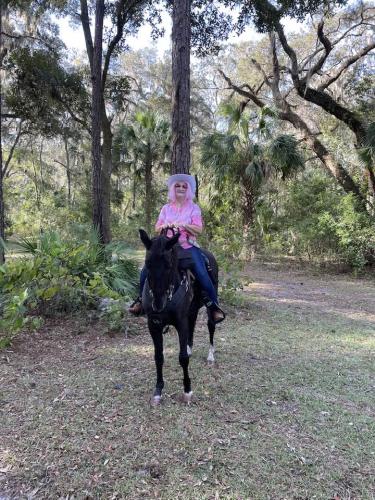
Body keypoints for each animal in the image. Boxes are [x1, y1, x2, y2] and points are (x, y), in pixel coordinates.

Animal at [140, 229, 219, 404]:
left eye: (169, 265)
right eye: (147, 264)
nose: (158, 305)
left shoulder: (180, 323)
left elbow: (182, 358)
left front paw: (187, 391)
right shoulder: (153, 325)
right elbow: (158, 357)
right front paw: (158, 391)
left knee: (211, 325)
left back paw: (211, 356)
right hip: (192, 308)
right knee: (193, 324)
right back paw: (190, 348)